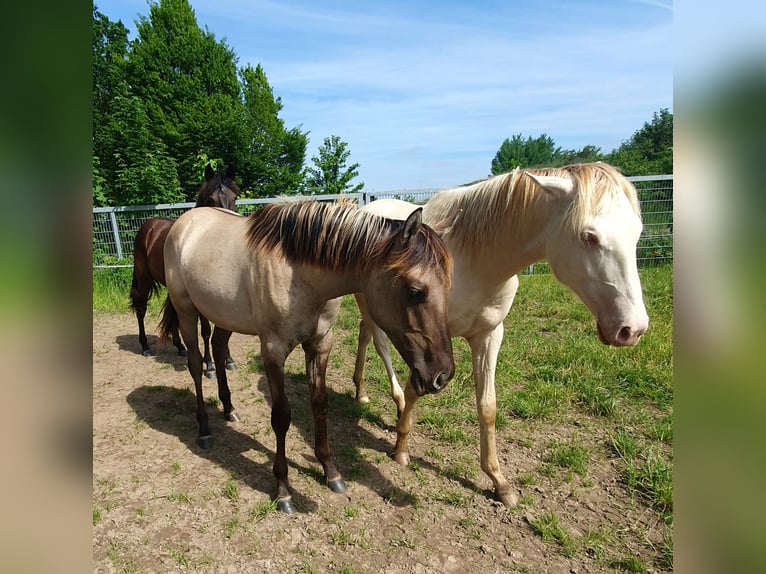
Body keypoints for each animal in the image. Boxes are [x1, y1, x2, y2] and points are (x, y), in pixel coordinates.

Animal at [130, 164, 240, 377]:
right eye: (210, 199)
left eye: (235, 197)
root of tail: (149, 226)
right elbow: (205, 330)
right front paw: (210, 366)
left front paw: (229, 360)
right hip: (143, 278)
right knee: (141, 308)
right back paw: (145, 346)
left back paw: (180, 347)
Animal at [158, 201, 456, 513]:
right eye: (415, 291)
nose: (443, 375)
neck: (298, 273)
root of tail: (183, 222)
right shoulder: (273, 351)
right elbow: (281, 417)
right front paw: (283, 489)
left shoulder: (320, 345)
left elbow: (320, 404)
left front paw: (330, 471)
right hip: (187, 313)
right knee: (195, 365)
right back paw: (204, 429)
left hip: (224, 316)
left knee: (217, 349)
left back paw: (229, 409)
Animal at [352, 162, 650, 508]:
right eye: (589, 236)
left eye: (637, 232)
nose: (632, 329)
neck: (474, 261)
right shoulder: (426, 339)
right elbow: (417, 388)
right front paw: (401, 447)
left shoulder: (489, 336)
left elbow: (488, 406)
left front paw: (499, 482)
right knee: (379, 344)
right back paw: (393, 398)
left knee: (365, 335)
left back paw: (362, 391)